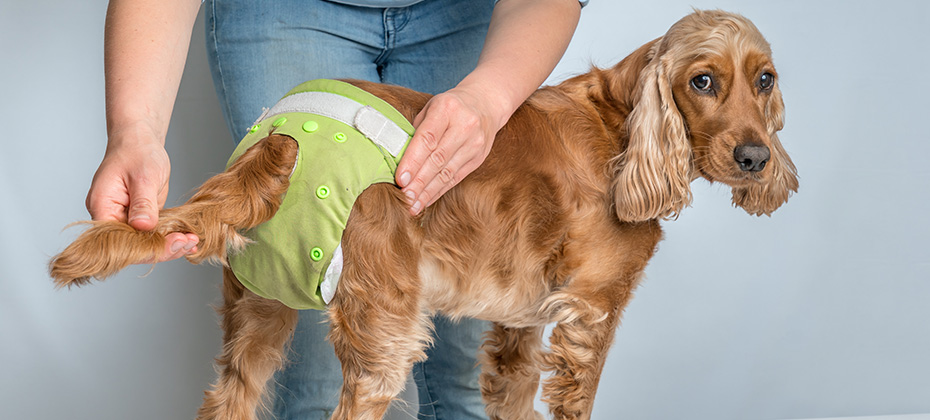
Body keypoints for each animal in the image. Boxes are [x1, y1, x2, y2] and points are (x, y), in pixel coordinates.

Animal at [47, 9, 792, 420]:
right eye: (702, 81)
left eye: (764, 80)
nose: (756, 157)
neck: (622, 126)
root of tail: (281, 138)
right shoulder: (590, 316)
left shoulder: (520, 331)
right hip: (386, 338)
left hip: (255, 318)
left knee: (226, 399)